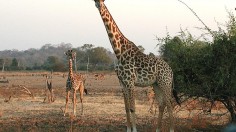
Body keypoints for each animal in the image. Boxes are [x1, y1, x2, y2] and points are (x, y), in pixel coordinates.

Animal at [93, 0, 180, 131]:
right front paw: (128, 129)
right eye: (95, 1)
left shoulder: (130, 82)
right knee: (162, 104)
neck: (119, 52)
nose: (98, 5)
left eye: (102, 1)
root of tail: (171, 70)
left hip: (165, 83)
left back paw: (171, 129)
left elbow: (133, 108)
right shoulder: (122, 83)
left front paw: (134, 129)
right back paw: (157, 129)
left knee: (169, 104)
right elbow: (126, 109)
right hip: (156, 84)